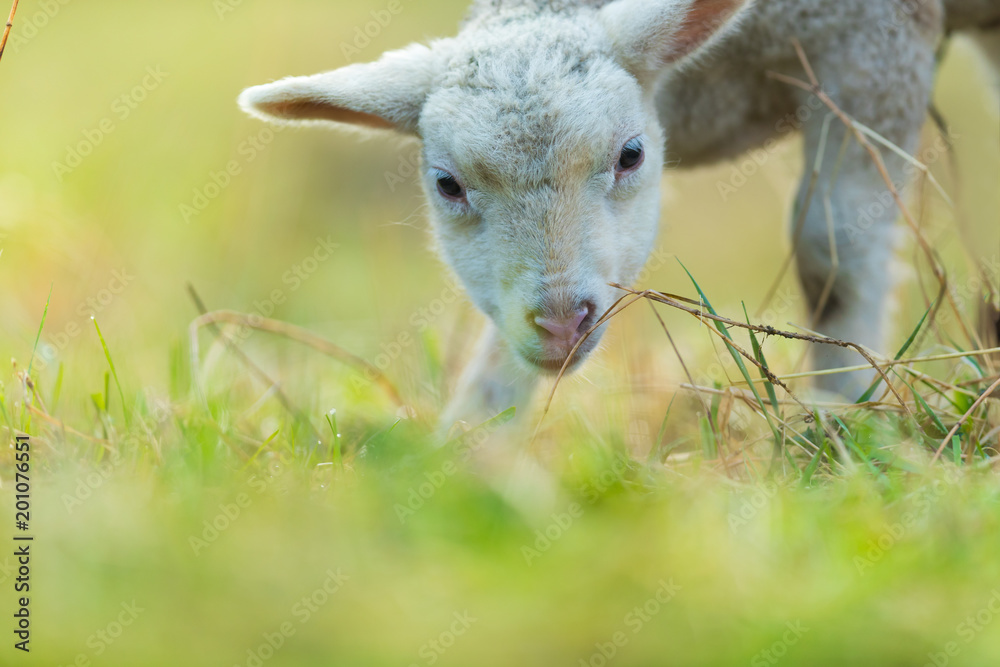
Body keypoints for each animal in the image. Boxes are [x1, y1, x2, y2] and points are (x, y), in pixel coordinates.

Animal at [240, 0, 1000, 426]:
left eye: (631, 154)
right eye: (446, 184)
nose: (560, 322)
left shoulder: (873, 46)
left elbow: (833, 249)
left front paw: (842, 411)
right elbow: (500, 349)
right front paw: (467, 449)